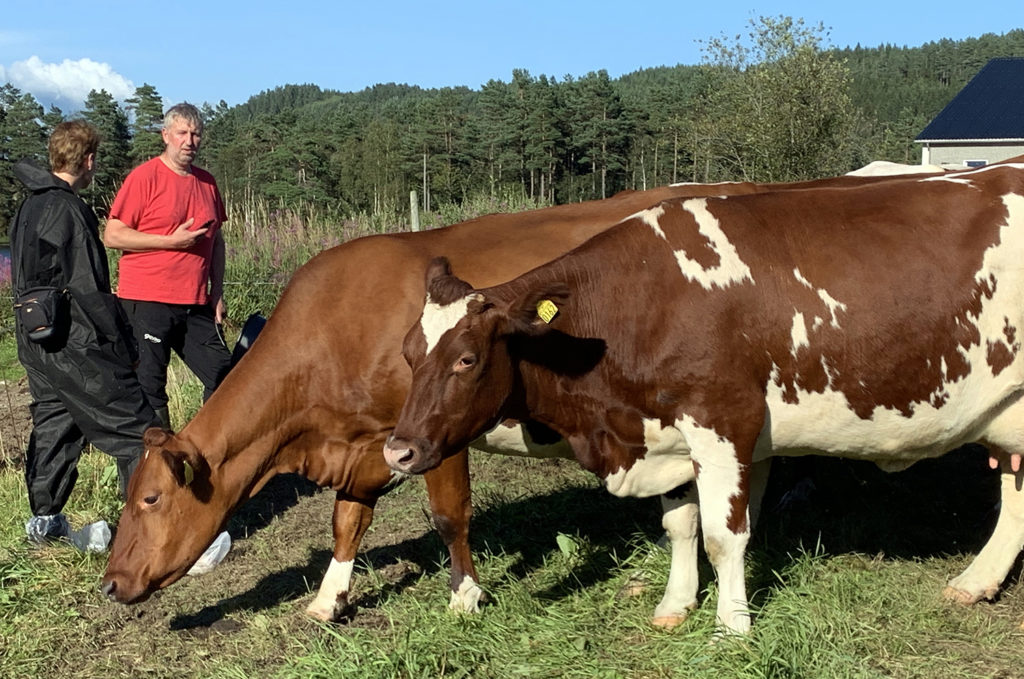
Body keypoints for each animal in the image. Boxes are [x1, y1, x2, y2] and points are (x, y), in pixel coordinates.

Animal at [382, 164, 1024, 639]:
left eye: (467, 359)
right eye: (409, 353)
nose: (398, 451)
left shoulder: (723, 421)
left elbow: (723, 534)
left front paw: (731, 627)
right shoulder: (664, 431)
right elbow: (681, 524)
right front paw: (676, 604)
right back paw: (976, 581)